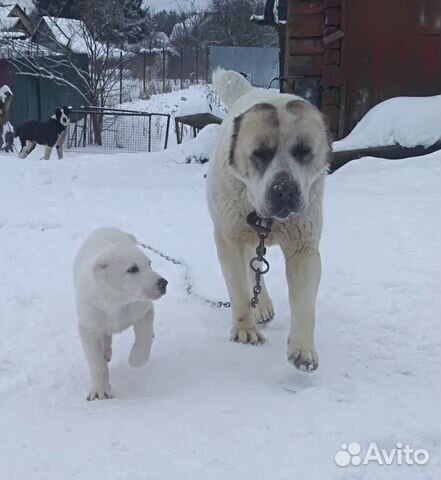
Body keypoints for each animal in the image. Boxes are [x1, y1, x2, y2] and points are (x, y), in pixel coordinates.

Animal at [73, 227, 168, 400]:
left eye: (149, 264)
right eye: (133, 269)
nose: (163, 283)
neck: (117, 302)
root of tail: (106, 228)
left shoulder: (143, 311)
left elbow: (144, 337)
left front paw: (136, 360)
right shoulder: (88, 327)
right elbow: (96, 362)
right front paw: (100, 390)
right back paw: (106, 351)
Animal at [208, 70, 328, 372]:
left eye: (304, 151)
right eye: (260, 153)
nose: (284, 189)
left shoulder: (304, 247)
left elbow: (304, 303)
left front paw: (303, 349)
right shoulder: (229, 240)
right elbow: (239, 288)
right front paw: (245, 330)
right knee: (252, 267)